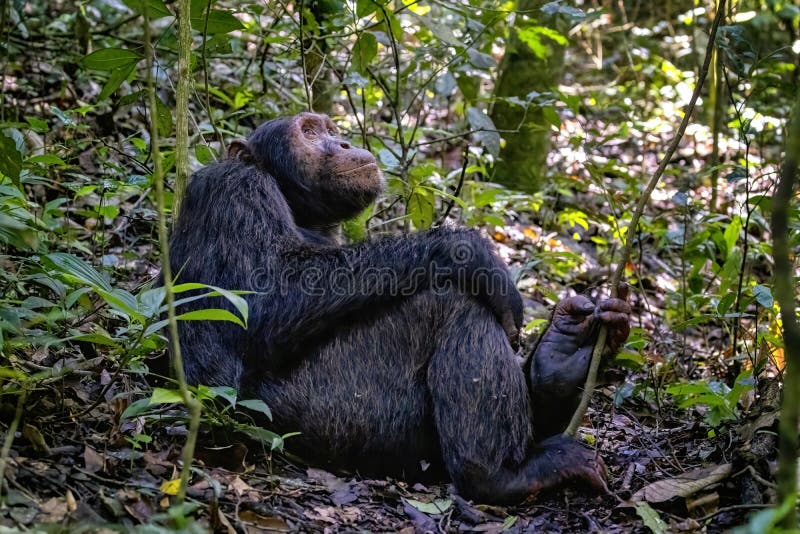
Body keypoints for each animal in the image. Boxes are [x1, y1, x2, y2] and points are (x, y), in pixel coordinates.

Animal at [169, 113, 632, 506]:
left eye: (330, 128)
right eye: (310, 132)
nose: (343, 141)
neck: (292, 201)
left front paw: (567, 350)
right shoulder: (235, 190)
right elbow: (266, 298)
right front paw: (470, 251)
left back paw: (563, 354)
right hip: (329, 413)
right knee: (450, 304)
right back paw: (503, 475)